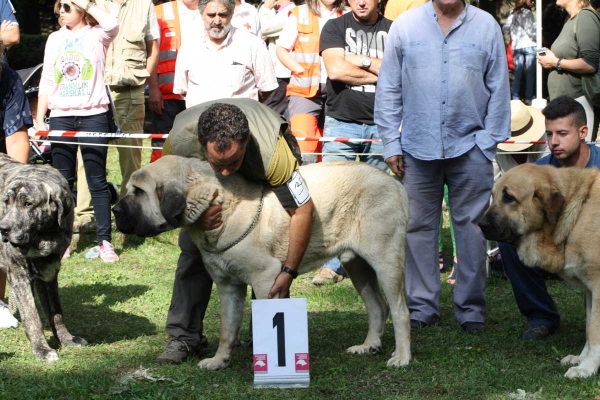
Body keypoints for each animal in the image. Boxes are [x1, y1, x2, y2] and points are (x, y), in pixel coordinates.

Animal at [0, 152, 87, 360]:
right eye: (6, 202)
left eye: (28, 204)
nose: (3, 229)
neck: (42, 237)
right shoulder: (19, 276)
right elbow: (32, 317)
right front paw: (42, 349)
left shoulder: (49, 273)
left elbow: (56, 312)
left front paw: (66, 339)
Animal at [113, 155, 412, 370]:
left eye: (139, 192)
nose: (115, 209)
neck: (220, 207)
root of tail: (394, 182)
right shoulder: (227, 285)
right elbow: (227, 328)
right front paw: (220, 360)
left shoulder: (266, 278)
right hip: (355, 263)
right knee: (377, 307)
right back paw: (368, 346)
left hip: (386, 261)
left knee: (400, 310)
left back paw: (402, 357)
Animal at [478, 162, 600, 378]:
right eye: (493, 196)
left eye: (509, 198)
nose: (480, 224)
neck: (578, 211)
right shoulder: (589, 290)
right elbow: (588, 328)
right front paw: (581, 359)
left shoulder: (598, 286)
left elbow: (594, 330)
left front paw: (587, 367)